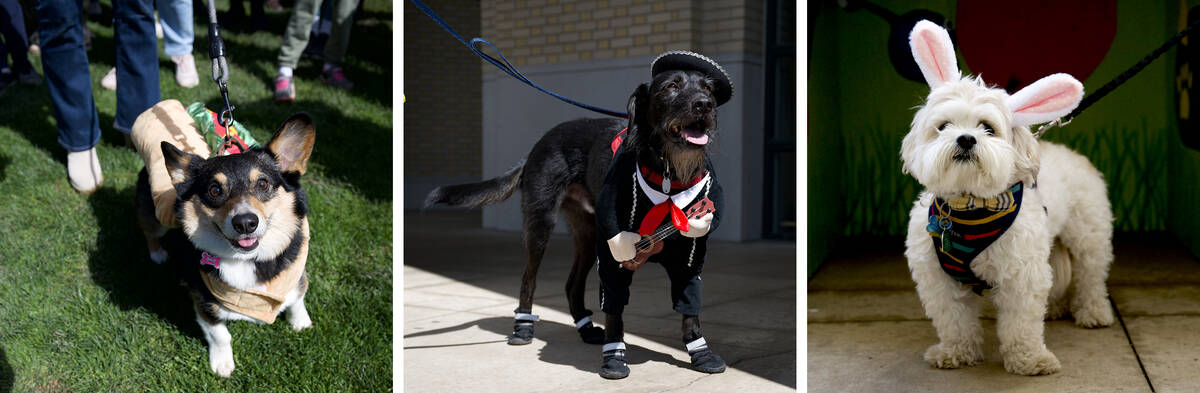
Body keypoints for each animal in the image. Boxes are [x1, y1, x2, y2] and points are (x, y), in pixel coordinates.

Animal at [135, 113, 319, 378]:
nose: (245, 223)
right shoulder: (203, 301)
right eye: (214, 190)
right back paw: (158, 253)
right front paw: (222, 365)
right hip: (156, 216)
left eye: (262, 184)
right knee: (148, 229)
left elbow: (297, 298)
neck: (247, 260)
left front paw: (301, 323)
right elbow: (220, 335)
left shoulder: (294, 274)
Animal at [432, 50, 729, 378]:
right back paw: (523, 328)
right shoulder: (615, 255)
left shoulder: (689, 258)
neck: (668, 173)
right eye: (671, 86)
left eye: (708, 88)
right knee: (528, 278)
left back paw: (585, 328)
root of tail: (537, 146)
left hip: (588, 236)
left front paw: (700, 354)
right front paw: (614, 357)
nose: (705, 105)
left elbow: (690, 310)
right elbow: (614, 310)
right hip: (542, 224)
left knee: (572, 284)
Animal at [902, 19, 1113, 376]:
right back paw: (1056, 308)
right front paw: (956, 352)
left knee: (1090, 275)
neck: (969, 208)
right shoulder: (939, 280)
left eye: (987, 127)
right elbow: (954, 321)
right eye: (943, 126)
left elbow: (1021, 324)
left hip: (1089, 235)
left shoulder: (1021, 274)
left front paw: (1030, 360)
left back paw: (1094, 312)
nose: (966, 139)